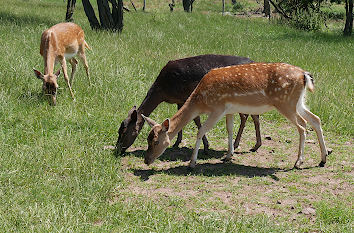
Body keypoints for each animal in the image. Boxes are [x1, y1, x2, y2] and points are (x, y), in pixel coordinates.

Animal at [116, 53, 260, 154]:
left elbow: (196, 120)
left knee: (249, 116)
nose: (117, 150)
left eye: (123, 132)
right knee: (250, 116)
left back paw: (242, 145)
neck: (162, 91)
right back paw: (250, 145)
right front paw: (176, 142)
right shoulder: (179, 100)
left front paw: (206, 146)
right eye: (119, 130)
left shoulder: (187, 96)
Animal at [142, 62, 330, 168]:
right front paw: (228, 155)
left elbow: (201, 131)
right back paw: (322, 159)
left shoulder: (217, 108)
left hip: (286, 103)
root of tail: (304, 75)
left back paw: (298, 162)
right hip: (298, 102)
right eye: (147, 139)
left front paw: (192, 163)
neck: (201, 101)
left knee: (303, 125)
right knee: (316, 119)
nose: (146, 160)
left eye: (156, 141)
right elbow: (229, 129)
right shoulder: (229, 110)